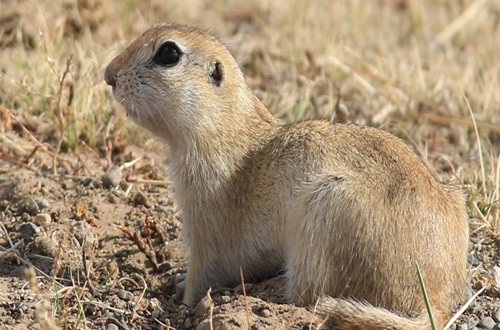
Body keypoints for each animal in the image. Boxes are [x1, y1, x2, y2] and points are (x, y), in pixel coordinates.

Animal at [104, 22, 468, 328]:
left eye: (169, 53)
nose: (109, 74)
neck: (225, 128)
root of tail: (432, 302)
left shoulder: (207, 220)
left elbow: (205, 272)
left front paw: (183, 298)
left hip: (326, 211)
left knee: (307, 297)